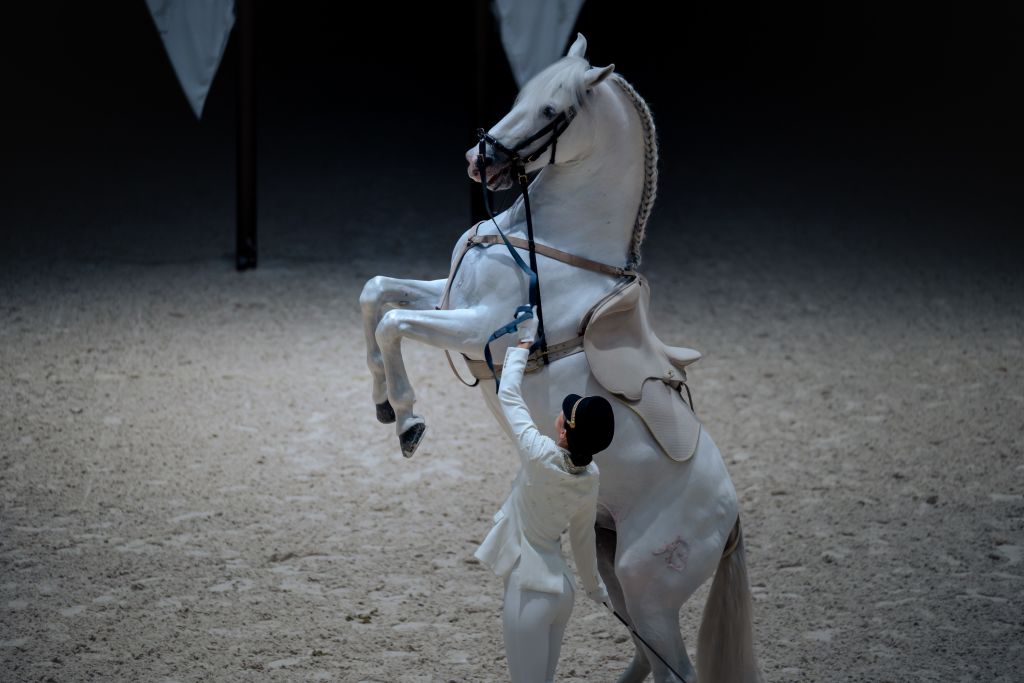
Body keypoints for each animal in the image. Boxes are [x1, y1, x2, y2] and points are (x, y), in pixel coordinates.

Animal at [359, 34, 762, 683]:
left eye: (553, 111)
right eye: (521, 94)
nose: (479, 161)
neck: (551, 242)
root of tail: (730, 519)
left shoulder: (478, 327)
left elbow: (394, 322)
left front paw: (410, 421)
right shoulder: (449, 299)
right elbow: (375, 295)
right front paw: (381, 406)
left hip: (647, 591)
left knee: (675, 666)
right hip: (610, 563)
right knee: (647, 657)